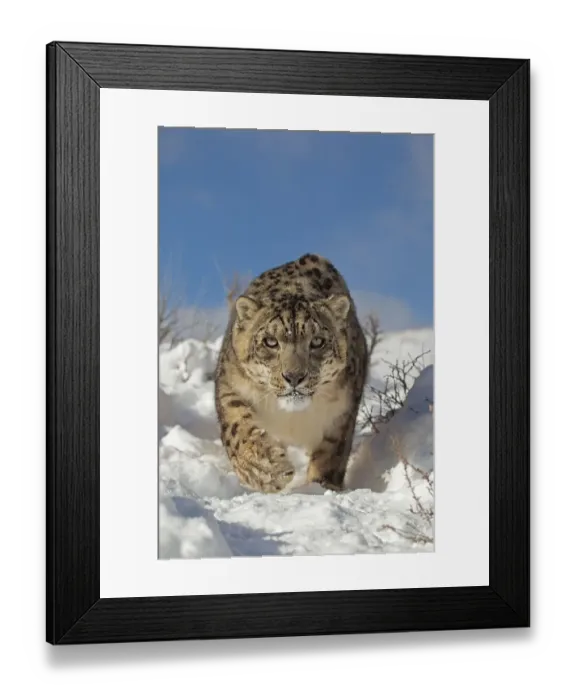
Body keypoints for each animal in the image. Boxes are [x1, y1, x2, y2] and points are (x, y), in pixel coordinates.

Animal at [214, 253, 368, 494]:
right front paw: (268, 469)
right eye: (270, 341)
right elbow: (237, 428)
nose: (294, 377)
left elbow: (331, 454)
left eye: (317, 341)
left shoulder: (342, 413)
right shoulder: (230, 386)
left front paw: (321, 486)